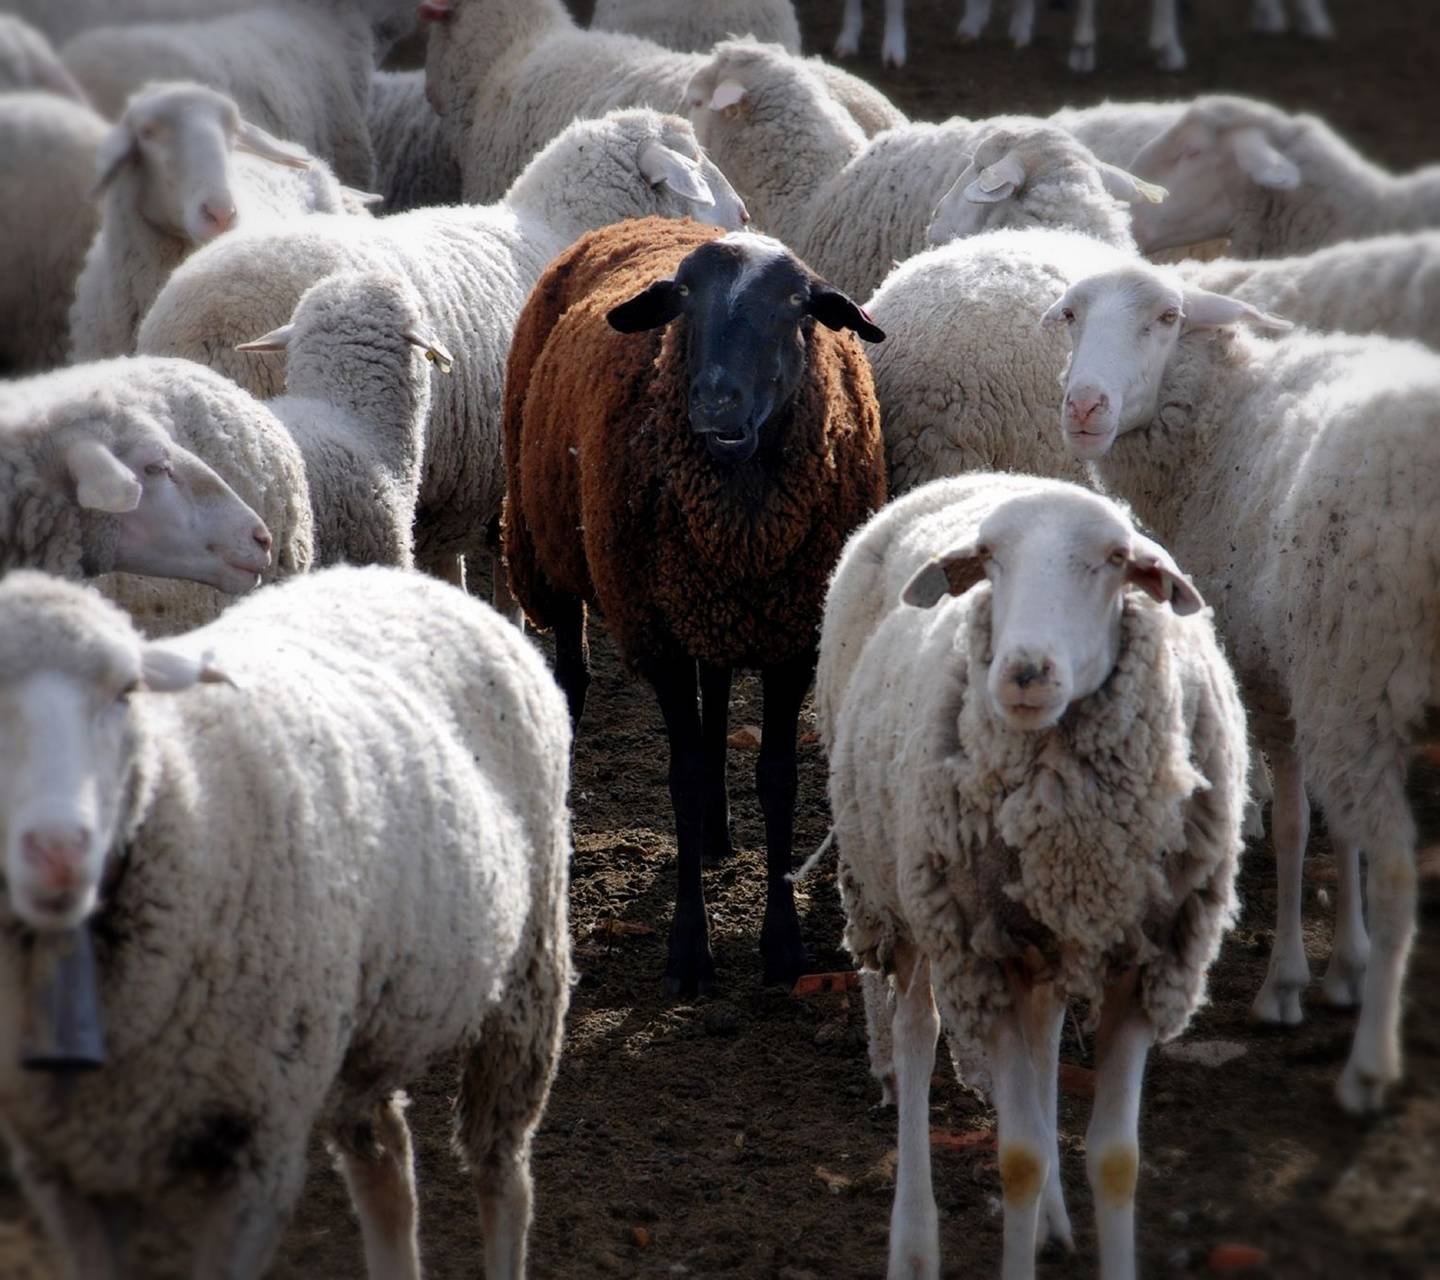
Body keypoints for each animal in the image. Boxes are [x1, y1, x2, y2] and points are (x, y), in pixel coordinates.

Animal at [0, 562, 572, 1280]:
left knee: (501, 1171)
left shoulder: (256, 1151)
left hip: (528, 973)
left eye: (126, 691)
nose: (57, 851)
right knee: (386, 1164)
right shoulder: (62, 1173)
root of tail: (399, 575)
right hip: (360, 1022)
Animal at [503, 217, 887, 994]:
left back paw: (716, 830)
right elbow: (676, 778)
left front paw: (782, 947)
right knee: (574, 677)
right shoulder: (659, 637)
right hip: (547, 548)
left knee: (717, 695)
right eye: (682, 297)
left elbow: (777, 777)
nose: (715, 402)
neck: (741, 525)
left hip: (707, 604)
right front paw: (689, 951)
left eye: (797, 303)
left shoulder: (792, 633)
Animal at [824, 474, 1247, 1280]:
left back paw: (1052, 1219)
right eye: (989, 557)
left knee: (1046, 1035)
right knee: (917, 1036)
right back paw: (914, 1239)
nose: (1023, 671)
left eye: (1116, 559)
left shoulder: (1144, 962)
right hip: (904, 897)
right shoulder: (982, 958)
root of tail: (971, 476)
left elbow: (1117, 1160)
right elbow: (1017, 1157)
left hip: (1037, 939)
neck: (1071, 837)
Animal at [1046, 260, 1440, 1112]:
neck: (1223, 423)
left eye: (1167, 317)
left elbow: (1296, 827)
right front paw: (1345, 970)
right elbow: (1337, 831)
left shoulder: (1285, 682)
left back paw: (1369, 1066)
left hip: (1361, 671)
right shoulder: (1309, 673)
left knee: (1400, 875)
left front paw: (1287, 985)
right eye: (1070, 316)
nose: (1084, 405)